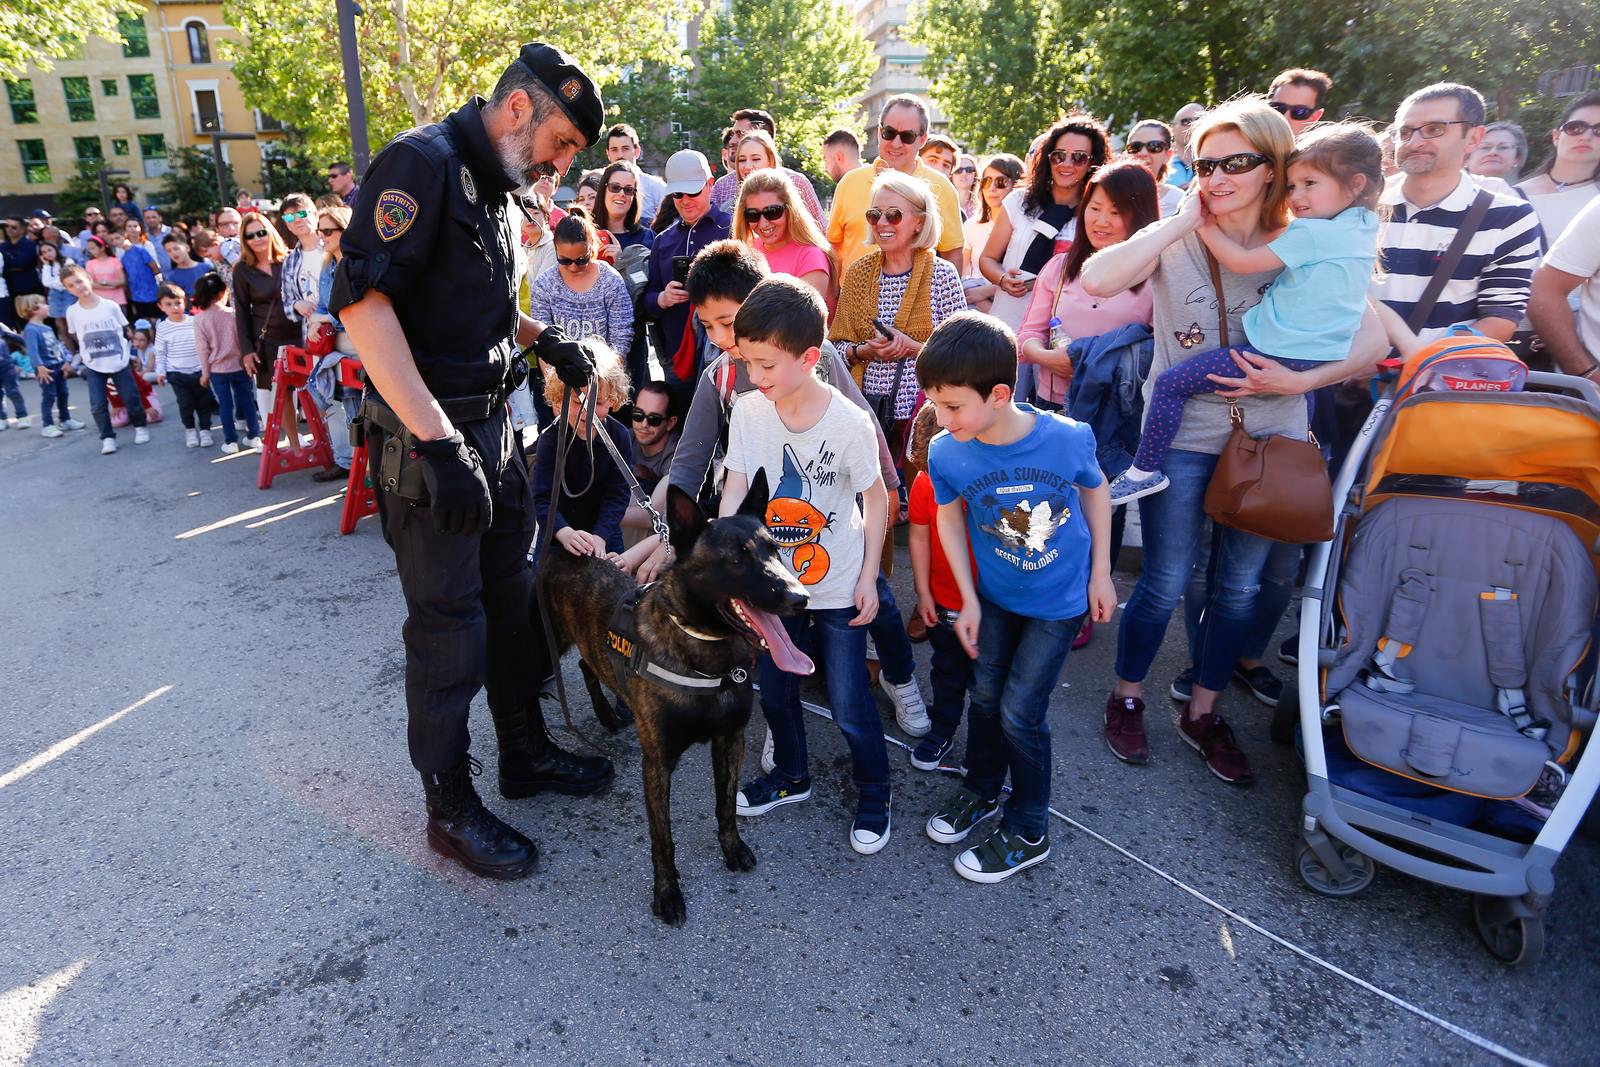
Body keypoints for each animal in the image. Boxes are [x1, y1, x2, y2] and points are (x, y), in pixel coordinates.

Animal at [540, 476, 812, 927]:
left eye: (775, 549)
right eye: (735, 560)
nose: (800, 597)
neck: (703, 655)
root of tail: (564, 550)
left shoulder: (730, 741)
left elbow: (725, 806)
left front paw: (732, 848)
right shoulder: (658, 763)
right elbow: (662, 838)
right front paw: (667, 892)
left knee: (587, 664)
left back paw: (608, 713)